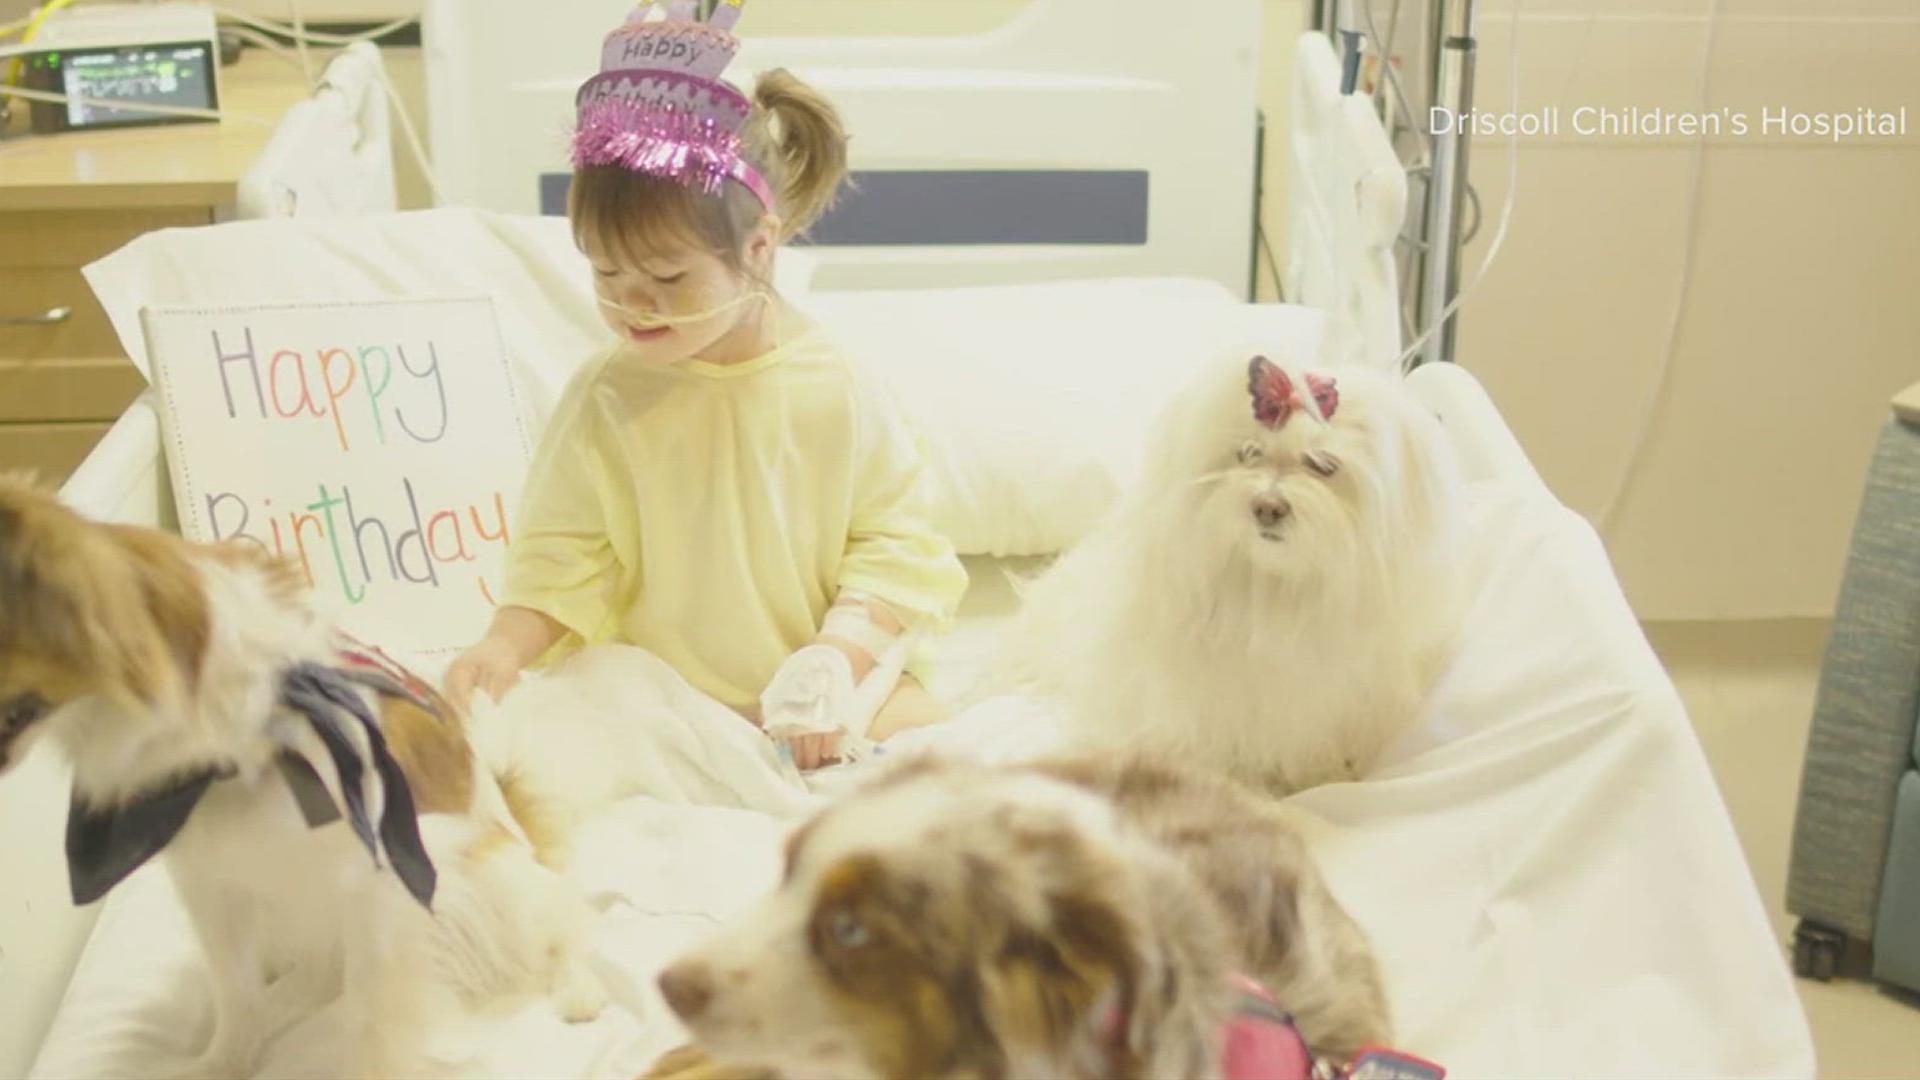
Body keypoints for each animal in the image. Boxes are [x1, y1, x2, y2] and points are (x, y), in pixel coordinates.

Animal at [0, 478, 602, 1076]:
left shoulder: (376, 887)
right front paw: (222, 1063)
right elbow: (236, 996)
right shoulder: (211, 883)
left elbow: (372, 1018)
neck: (241, 749)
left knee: (565, 917)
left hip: (495, 879)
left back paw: (578, 987)